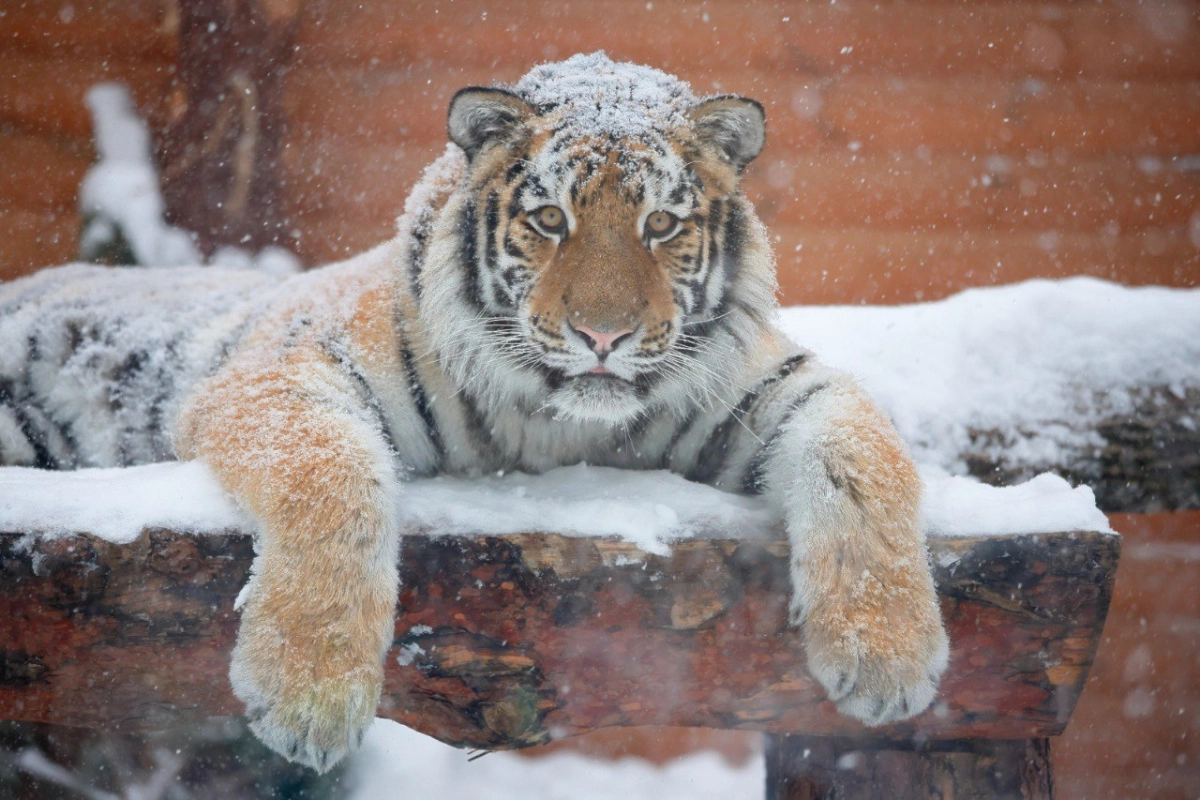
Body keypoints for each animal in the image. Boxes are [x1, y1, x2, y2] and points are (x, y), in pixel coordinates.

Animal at [4, 54, 950, 767]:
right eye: (550, 218)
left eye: (660, 225)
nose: (603, 334)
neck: (556, 423)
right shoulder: (284, 370)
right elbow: (333, 476)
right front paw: (308, 698)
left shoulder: (772, 388)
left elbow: (868, 461)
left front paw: (889, 661)